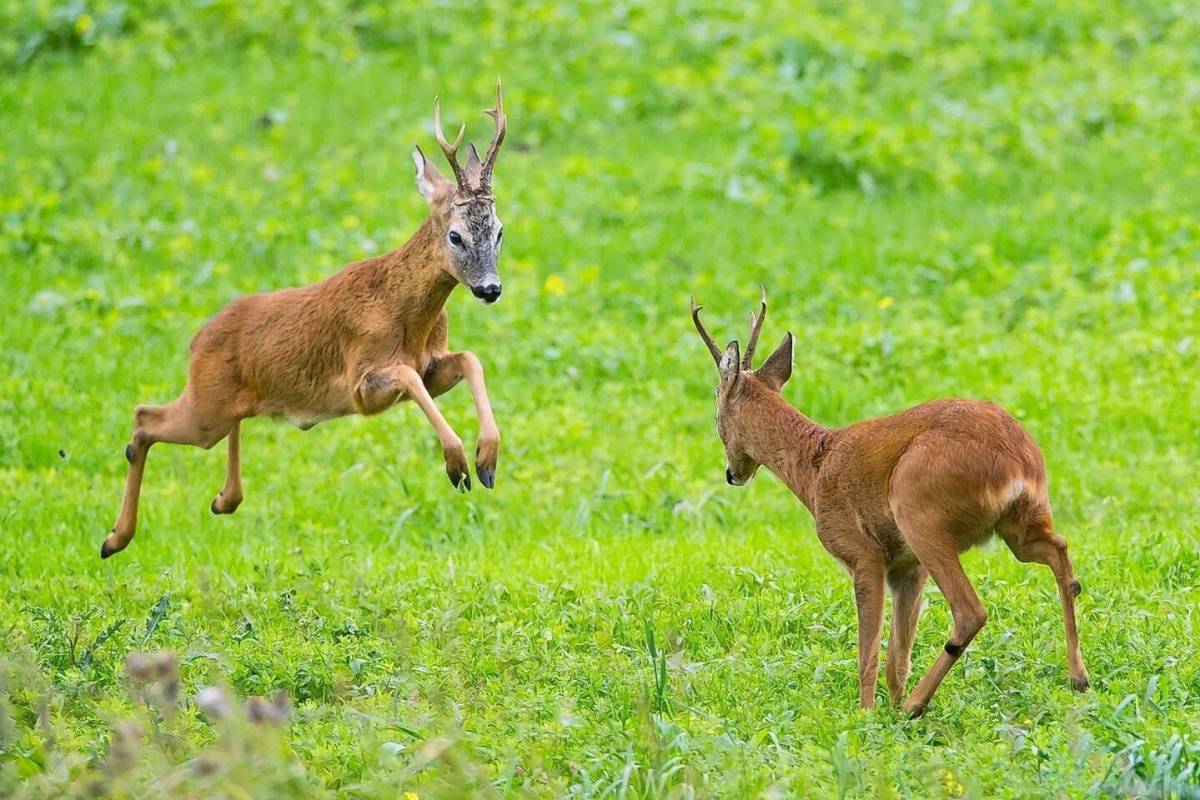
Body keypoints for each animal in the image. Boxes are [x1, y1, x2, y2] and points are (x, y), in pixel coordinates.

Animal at [104, 81, 511, 556]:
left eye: (499, 230)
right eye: (455, 235)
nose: (490, 289)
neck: (408, 316)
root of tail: (196, 340)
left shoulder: (433, 365)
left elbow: (469, 359)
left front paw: (486, 462)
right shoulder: (361, 383)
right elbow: (409, 376)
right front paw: (457, 464)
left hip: (220, 408)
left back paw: (222, 499)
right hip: (205, 408)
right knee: (143, 419)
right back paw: (114, 538)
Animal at [691, 291, 1094, 714]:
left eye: (717, 413)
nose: (732, 474)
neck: (815, 467)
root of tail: (1018, 461)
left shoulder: (863, 555)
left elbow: (867, 651)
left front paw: (866, 713)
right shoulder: (905, 567)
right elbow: (897, 657)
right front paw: (887, 709)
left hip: (921, 517)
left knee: (971, 611)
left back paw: (915, 705)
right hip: (1018, 525)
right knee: (1060, 553)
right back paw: (1078, 678)